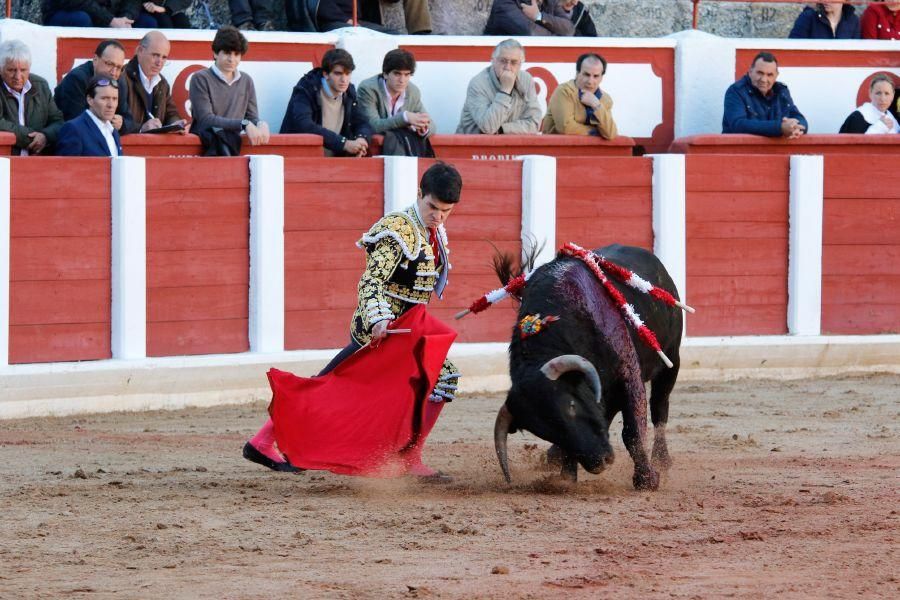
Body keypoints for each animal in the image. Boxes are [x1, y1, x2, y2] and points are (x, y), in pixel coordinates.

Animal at [492, 244, 684, 492]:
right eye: (545, 431)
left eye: (571, 406)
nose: (599, 462)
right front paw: (566, 476)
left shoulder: (629, 374)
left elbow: (632, 431)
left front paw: (647, 479)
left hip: (671, 360)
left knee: (660, 408)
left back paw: (661, 460)